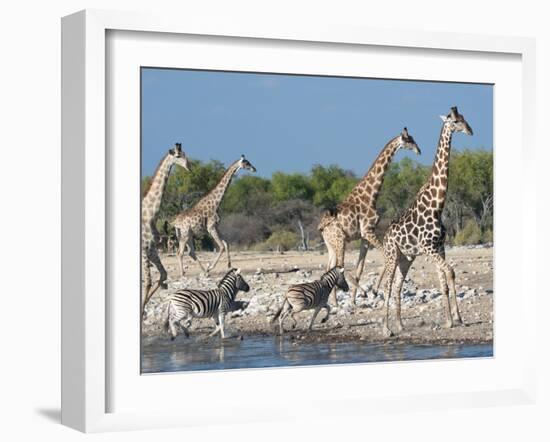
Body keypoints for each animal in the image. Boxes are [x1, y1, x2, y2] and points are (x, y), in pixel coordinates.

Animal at [142, 143, 190, 312]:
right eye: (178, 155)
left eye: (185, 153)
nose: (189, 166)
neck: (150, 215)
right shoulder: (144, 249)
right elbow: (148, 281)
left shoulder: (152, 249)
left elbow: (163, 275)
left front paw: (143, 311)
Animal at [320, 128, 422, 308]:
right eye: (409, 140)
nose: (419, 150)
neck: (372, 195)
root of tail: (322, 229)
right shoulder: (368, 231)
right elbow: (384, 256)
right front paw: (372, 291)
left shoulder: (364, 236)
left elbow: (360, 267)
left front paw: (353, 300)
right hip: (340, 240)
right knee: (339, 265)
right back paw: (361, 292)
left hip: (331, 245)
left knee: (329, 267)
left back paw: (335, 303)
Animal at [382, 106, 476, 334]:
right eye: (455, 121)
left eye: (464, 118)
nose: (470, 131)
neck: (437, 206)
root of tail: (384, 236)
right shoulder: (429, 248)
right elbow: (450, 272)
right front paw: (452, 320)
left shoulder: (439, 247)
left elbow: (446, 280)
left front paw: (454, 319)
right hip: (391, 255)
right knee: (387, 286)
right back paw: (386, 329)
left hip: (405, 258)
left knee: (397, 286)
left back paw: (400, 325)